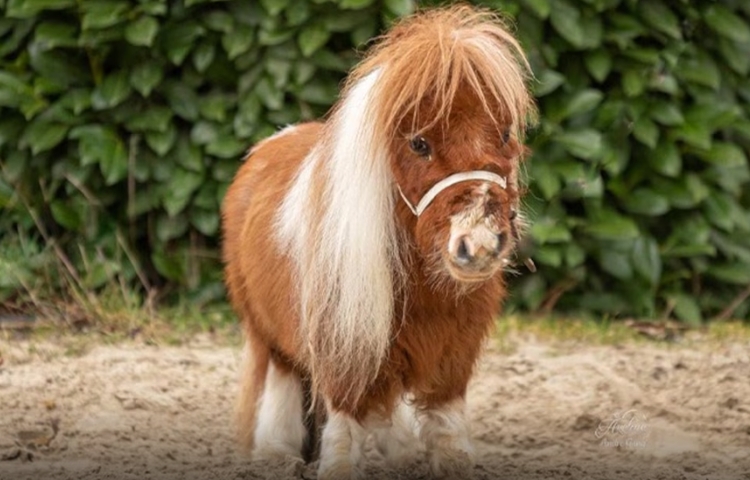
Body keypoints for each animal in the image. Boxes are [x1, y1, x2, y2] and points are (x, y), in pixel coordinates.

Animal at [221, 4, 535, 479]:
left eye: (503, 134)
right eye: (419, 143)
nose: (478, 244)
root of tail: (267, 147)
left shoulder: (452, 360)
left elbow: (447, 434)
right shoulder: (344, 351)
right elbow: (343, 434)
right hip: (267, 333)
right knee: (282, 382)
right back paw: (276, 454)